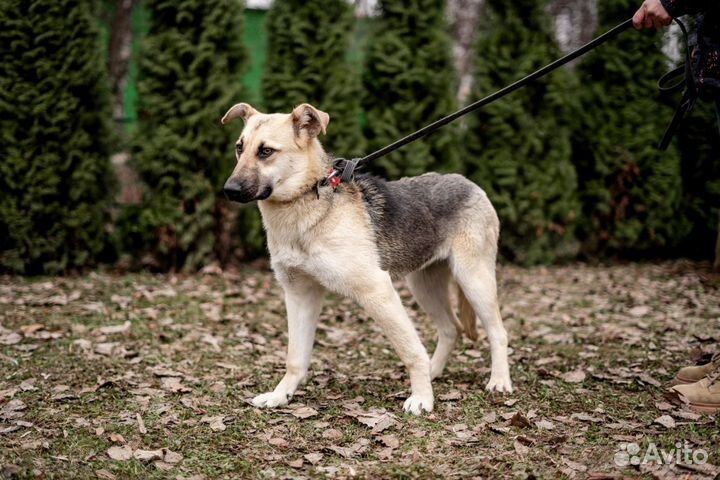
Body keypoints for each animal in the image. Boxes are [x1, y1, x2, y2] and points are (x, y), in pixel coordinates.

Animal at [219, 100, 512, 412]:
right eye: (239, 148)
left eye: (266, 151)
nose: (229, 190)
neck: (308, 200)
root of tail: (469, 183)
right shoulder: (300, 295)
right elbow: (295, 357)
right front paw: (280, 395)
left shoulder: (377, 291)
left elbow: (411, 351)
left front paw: (422, 398)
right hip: (424, 286)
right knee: (450, 329)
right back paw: (435, 371)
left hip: (473, 280)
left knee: (498, 332)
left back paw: (499, 381)